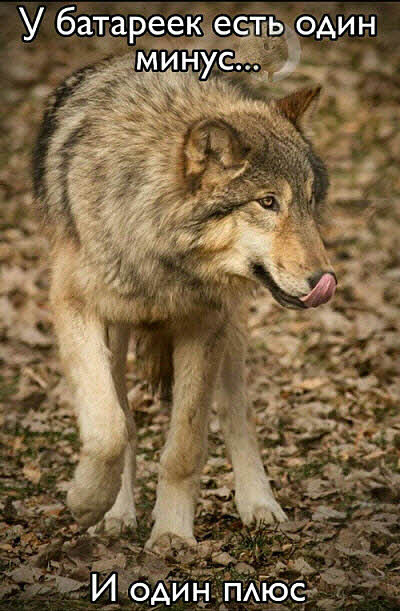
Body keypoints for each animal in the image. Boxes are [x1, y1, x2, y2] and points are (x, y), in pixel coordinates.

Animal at [32, 53, 336, 548]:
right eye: (267, 202)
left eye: (309, 202)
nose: (325, 280)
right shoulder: (73, 305)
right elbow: (110, 428)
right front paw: (88, 501)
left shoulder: (204, 323)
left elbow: (186, 446)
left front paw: (173, 531)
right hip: (117, 333)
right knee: (126, 417)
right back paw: (116, 512)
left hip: (231, 328)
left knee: (237, 412)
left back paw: (259, 504)